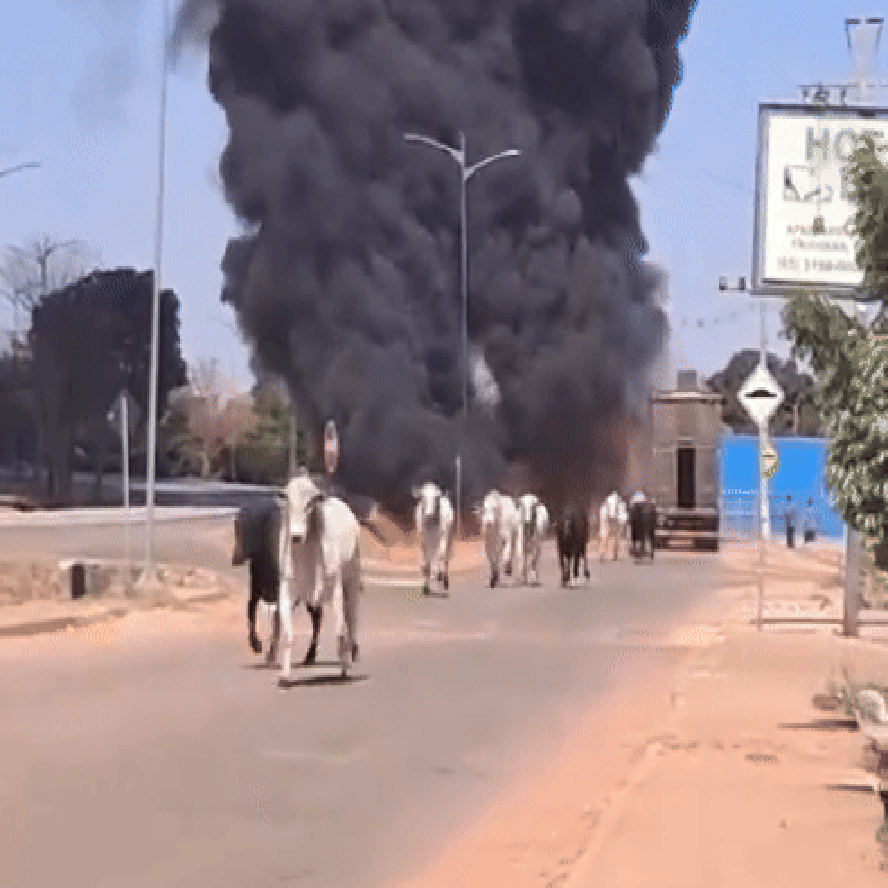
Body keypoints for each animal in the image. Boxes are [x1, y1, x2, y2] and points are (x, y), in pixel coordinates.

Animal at [232, 500, 324, 667]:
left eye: (240, 531)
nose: (235, 558)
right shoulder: (256, 590)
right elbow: (251, 611)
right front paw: (256, 645)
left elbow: (276, 621)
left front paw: (270, 653)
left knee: (317, 618)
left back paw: (311, 655)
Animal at [278, 471, 362, 681]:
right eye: (288, 500)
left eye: (310, 503)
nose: (296, 536)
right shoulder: (287, 589)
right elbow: (288, 634)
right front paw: (284, 675)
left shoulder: (336, 590)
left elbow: (340, 631)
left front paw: (345, 667)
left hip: (352, 582)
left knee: (351, 619)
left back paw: (352, 653)